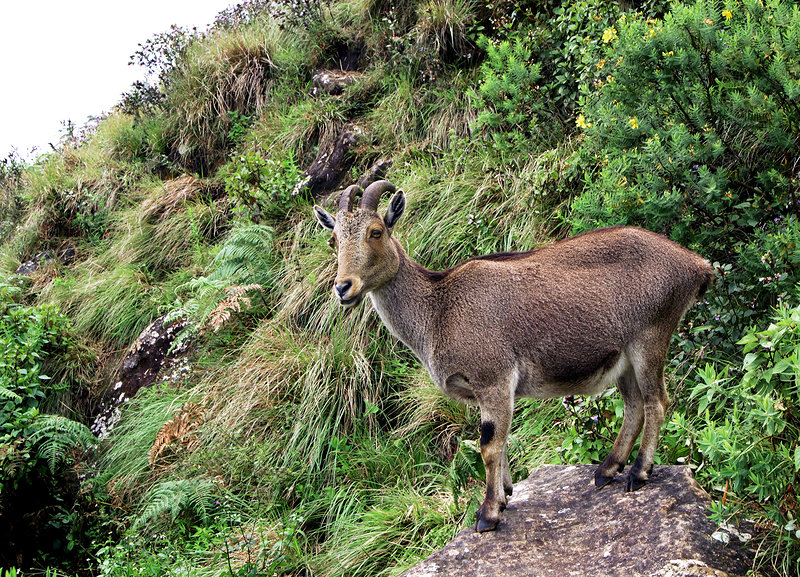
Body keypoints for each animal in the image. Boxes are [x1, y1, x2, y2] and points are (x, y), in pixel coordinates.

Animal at [312, 180, 712, 532]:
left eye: (376, 231)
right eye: (333, 239)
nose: (343, 287)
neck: (439, 309)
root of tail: (696, 264)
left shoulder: (493, 377)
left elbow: (490, 445)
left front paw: (488, 514)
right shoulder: (486, 391)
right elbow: (500, 443)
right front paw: (504, 494)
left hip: (651, 337)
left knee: (656, 401)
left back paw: (638, 472)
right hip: (624, 357)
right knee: (633, 405)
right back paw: (606, 470)